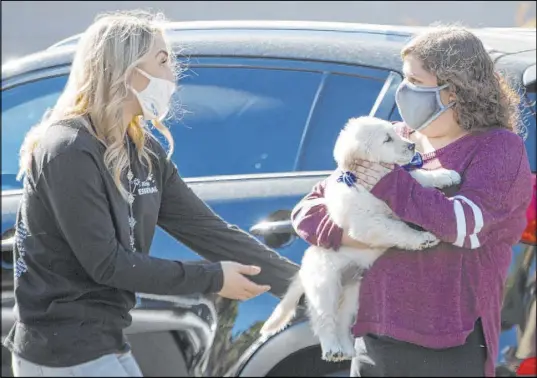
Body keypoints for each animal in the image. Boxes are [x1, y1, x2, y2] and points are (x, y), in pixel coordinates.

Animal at [260, 116, 460, 362]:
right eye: (387, 139)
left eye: (395, 132)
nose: (412, 146)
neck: (362, 179)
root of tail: (304, 268)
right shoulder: (366, 223)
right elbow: (398, 228)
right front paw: (422, 238)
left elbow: (416, 178)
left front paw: (445, 174)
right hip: (324, 286)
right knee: (323, 320)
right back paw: (332, 349)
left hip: (353, 292)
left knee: (343, 320)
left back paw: (346, 349)